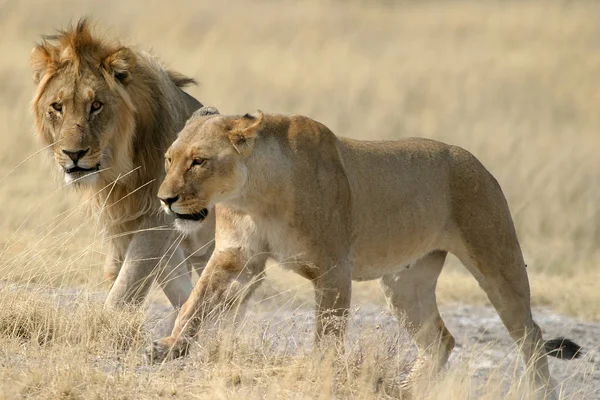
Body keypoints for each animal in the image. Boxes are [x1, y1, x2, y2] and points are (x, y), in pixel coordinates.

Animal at [28, 18, 216, 310]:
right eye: (57, 106)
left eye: (96, 105)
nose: (73, 154)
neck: (122, 167)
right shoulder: (118, 221)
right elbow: (119, 274)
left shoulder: (158, 217)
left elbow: (128, 284)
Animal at [144, 109, 580, 396]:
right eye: (168, 158)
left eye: (199, 161)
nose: (165, 199)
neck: (256, 196)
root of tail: (475, 161)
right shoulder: (235, 258)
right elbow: (195, 303)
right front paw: (170, 347)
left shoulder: (334, 269)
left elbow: (328, 333)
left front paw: (316, 374)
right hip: (405, 284)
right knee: (440, 340)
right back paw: (404, 389)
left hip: (497, 259)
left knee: (531, 335)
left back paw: (540, 390)